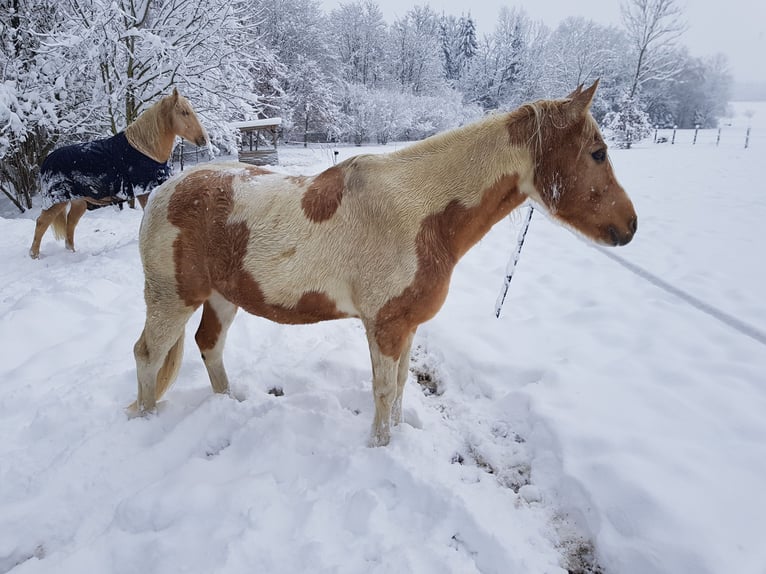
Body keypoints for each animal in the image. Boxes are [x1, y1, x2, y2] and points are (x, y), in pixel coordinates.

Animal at [30, 89, 207, 260]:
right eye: (184, 112)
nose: (203, 139)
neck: (147, 150)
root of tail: (46, 161)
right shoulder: (143, 191)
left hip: (79, 202)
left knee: (70, 224)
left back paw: (71, 253)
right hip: (56, 201)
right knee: (42, 223)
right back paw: (35, 255)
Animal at [135, 81, 640, 448]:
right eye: (598, 153)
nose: (631, 226)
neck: (419, 211)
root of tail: (162, 192)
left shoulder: (407, 325)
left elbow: (398, 387)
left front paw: (399, 434)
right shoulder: (384, 326)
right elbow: (382, 390)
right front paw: (380, 447)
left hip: (222, 297)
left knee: (209, 345)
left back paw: (229, 401)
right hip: (172, 298)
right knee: (149, 354)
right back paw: (146, 417)